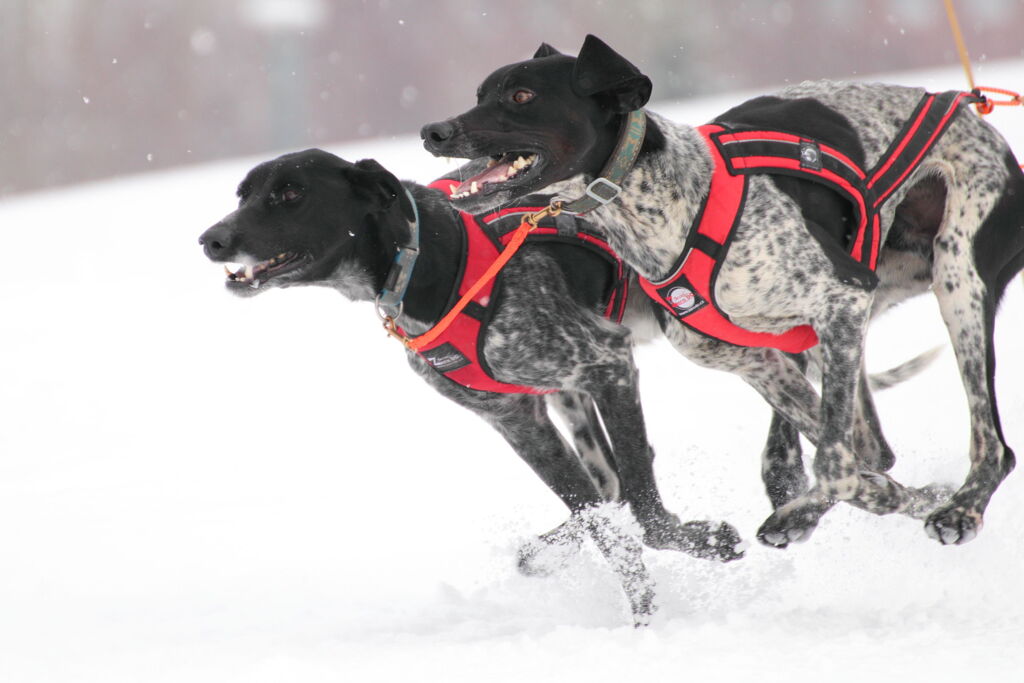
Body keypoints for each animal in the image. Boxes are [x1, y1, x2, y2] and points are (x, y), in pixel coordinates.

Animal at [199, 149, 749, 626]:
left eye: (291, 194)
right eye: (243, 194)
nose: (211, 239)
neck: (427, 264)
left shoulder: (608, 364)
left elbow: (647, 515)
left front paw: (701, 554)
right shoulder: (518, 423)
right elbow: (600, 519)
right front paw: (643, 619)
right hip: (571, 401)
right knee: (608, 485)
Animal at [417, 36, 1024, 548]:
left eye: (521, 96)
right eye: (479, 94)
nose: (433, 132)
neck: (667, 205)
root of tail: (969, 111)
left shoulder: (841, 299)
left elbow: (836, 463)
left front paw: (839, 504)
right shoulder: (750, 356)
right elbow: (842, 456)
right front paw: (855, 501)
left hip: (957, 279)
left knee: (991, 445)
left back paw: (961, 508)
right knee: (847, 446)